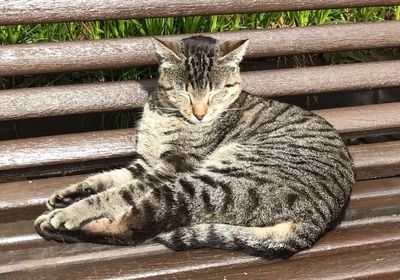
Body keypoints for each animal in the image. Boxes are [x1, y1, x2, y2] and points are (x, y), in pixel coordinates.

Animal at [33, 35, 354, 258]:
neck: (163, 112)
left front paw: (71, 211)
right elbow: (105, 178)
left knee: (136, 227)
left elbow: (115, 193)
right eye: (184, 92)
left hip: (205, 183)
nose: (200, 114)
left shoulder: (172, 165)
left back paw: (56, 224)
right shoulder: (145, 163)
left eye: (216, 92)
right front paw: (67, 195)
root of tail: (316, 222)